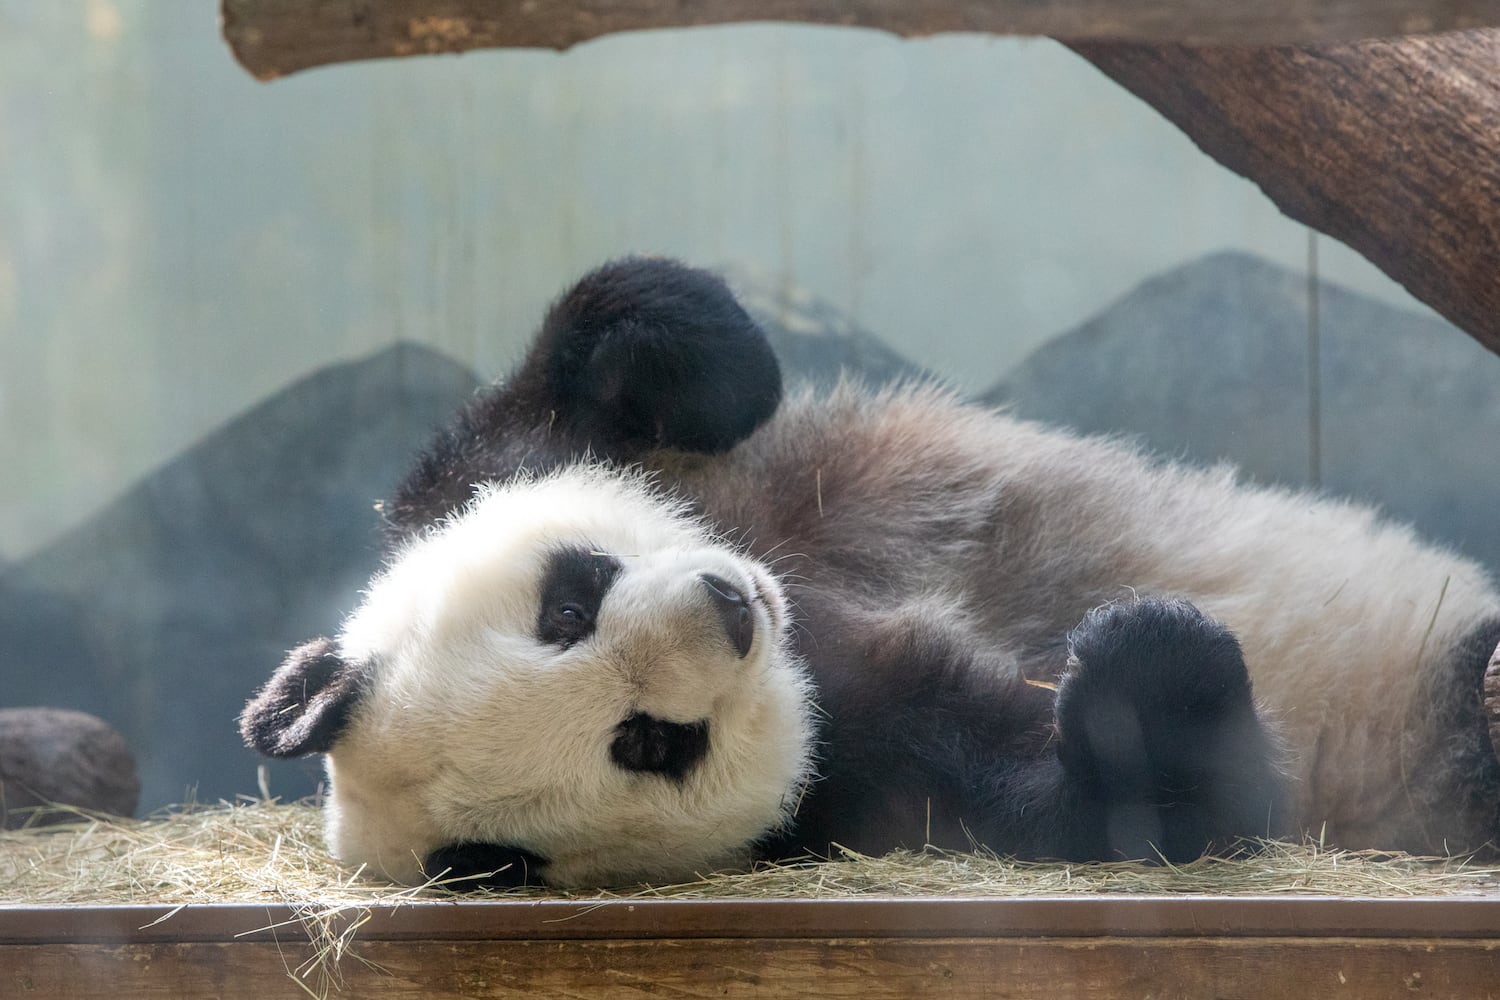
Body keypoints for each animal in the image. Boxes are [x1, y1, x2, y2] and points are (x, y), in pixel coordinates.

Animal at [243, 257, 1500, 893]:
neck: (810, 634)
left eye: (568, 605)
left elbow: (551, 405)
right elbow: (1160, 812)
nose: (728, 608)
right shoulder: (870, 780)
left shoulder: (507, 481)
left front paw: (697, 347)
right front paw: (1142, 668)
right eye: (646, 743)